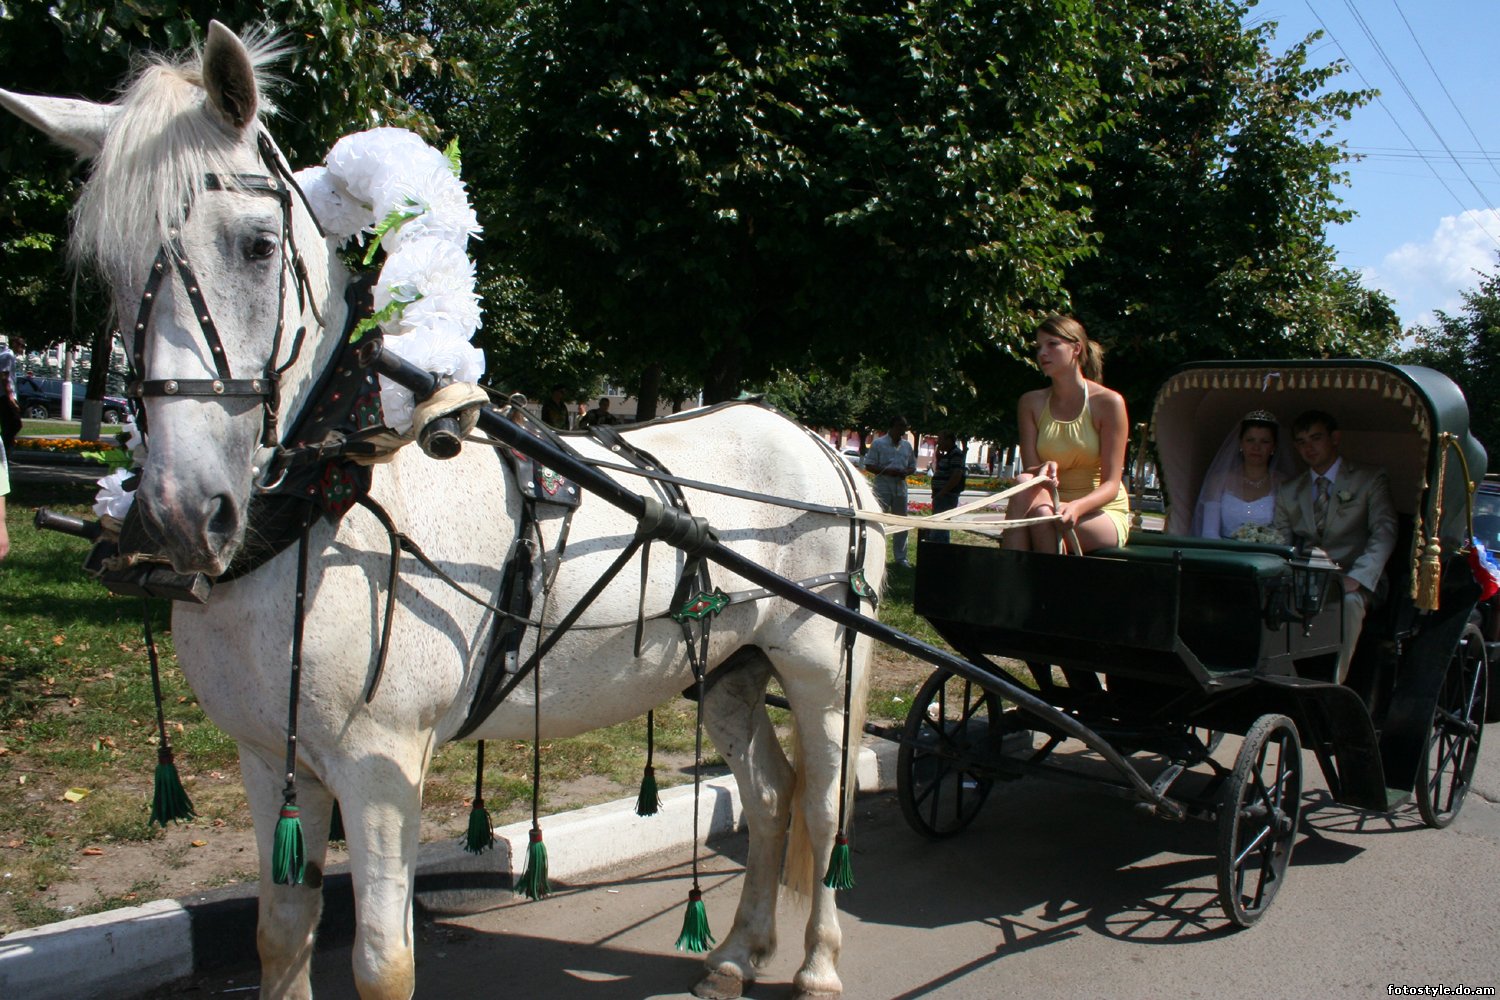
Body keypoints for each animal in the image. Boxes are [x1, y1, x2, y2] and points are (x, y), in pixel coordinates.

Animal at [1, 22, 882, 1000]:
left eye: (258, 245)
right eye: (106, 268)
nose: (179, 514)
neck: (326, 510)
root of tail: (818, 445)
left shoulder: (379, 772)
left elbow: (383, 962)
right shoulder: (271, 758)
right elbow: (281, 932)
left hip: (822, 668)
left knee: (826, 805)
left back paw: (817, 964)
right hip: (726, 667)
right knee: (767, 795)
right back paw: (735, 952)